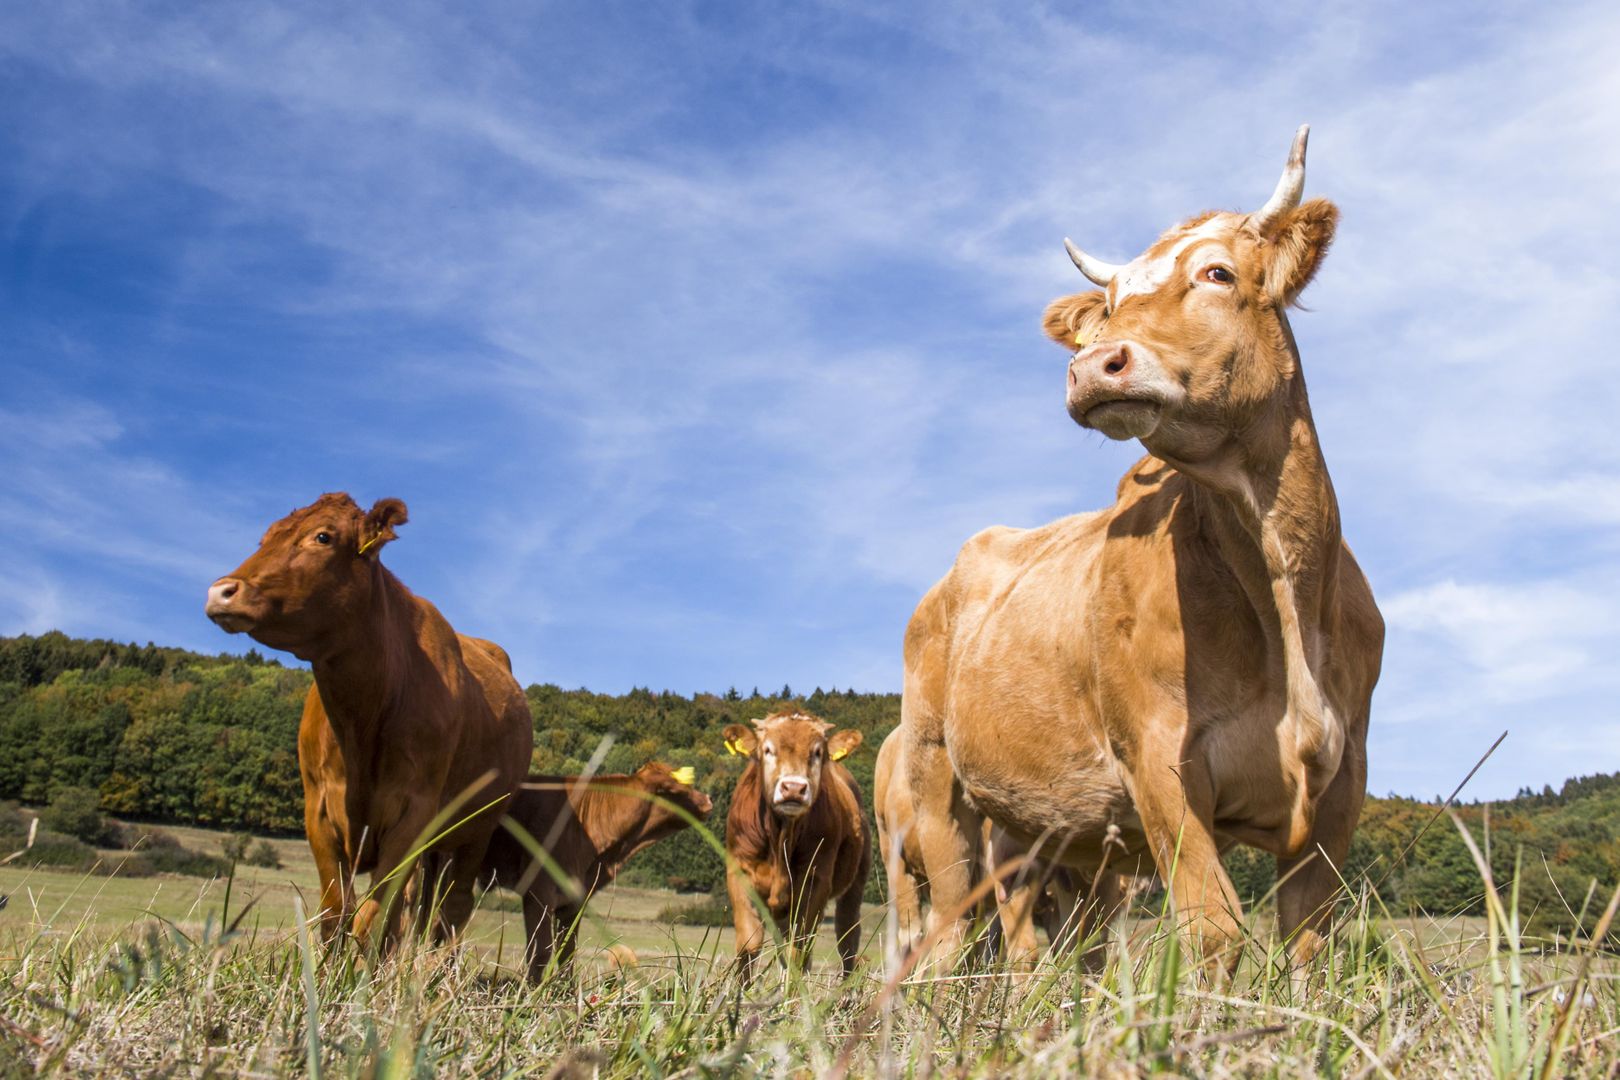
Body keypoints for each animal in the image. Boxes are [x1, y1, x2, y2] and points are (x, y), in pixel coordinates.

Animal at [204, 493, 534, 950]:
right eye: (265, 537)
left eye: (323, 537)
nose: (221, 591)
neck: (362, 719)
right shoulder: (318, 809)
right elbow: (337, 914)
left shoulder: (416, 813)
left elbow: (375, 920)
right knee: (423, 911)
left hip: (476, 829)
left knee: (452, 911)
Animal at [479, 762, 714, 982]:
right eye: (674, 790)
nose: (708, 800)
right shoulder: (538, 891)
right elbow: (540, 954)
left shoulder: (573, 902)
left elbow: (567, 954)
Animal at [723, 711, 871, 978]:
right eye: (768, 750)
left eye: (817, 752)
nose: (793, 787)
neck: (781, 835)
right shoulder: (739, 872)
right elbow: (749, 946)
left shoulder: (816, 880)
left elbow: (799, 949)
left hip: (855, 881)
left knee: (847, 939)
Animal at [900, 127, 1383, 976]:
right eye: (1113, 306)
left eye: (1217, 272)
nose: (1095, 365)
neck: (1284, 597)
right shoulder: (1159, 757)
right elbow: (1214, 926)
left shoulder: (1344, 776)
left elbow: (1306, 943)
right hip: (937, 782)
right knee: (950, 937)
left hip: (1048, 830)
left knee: (1058, 944)